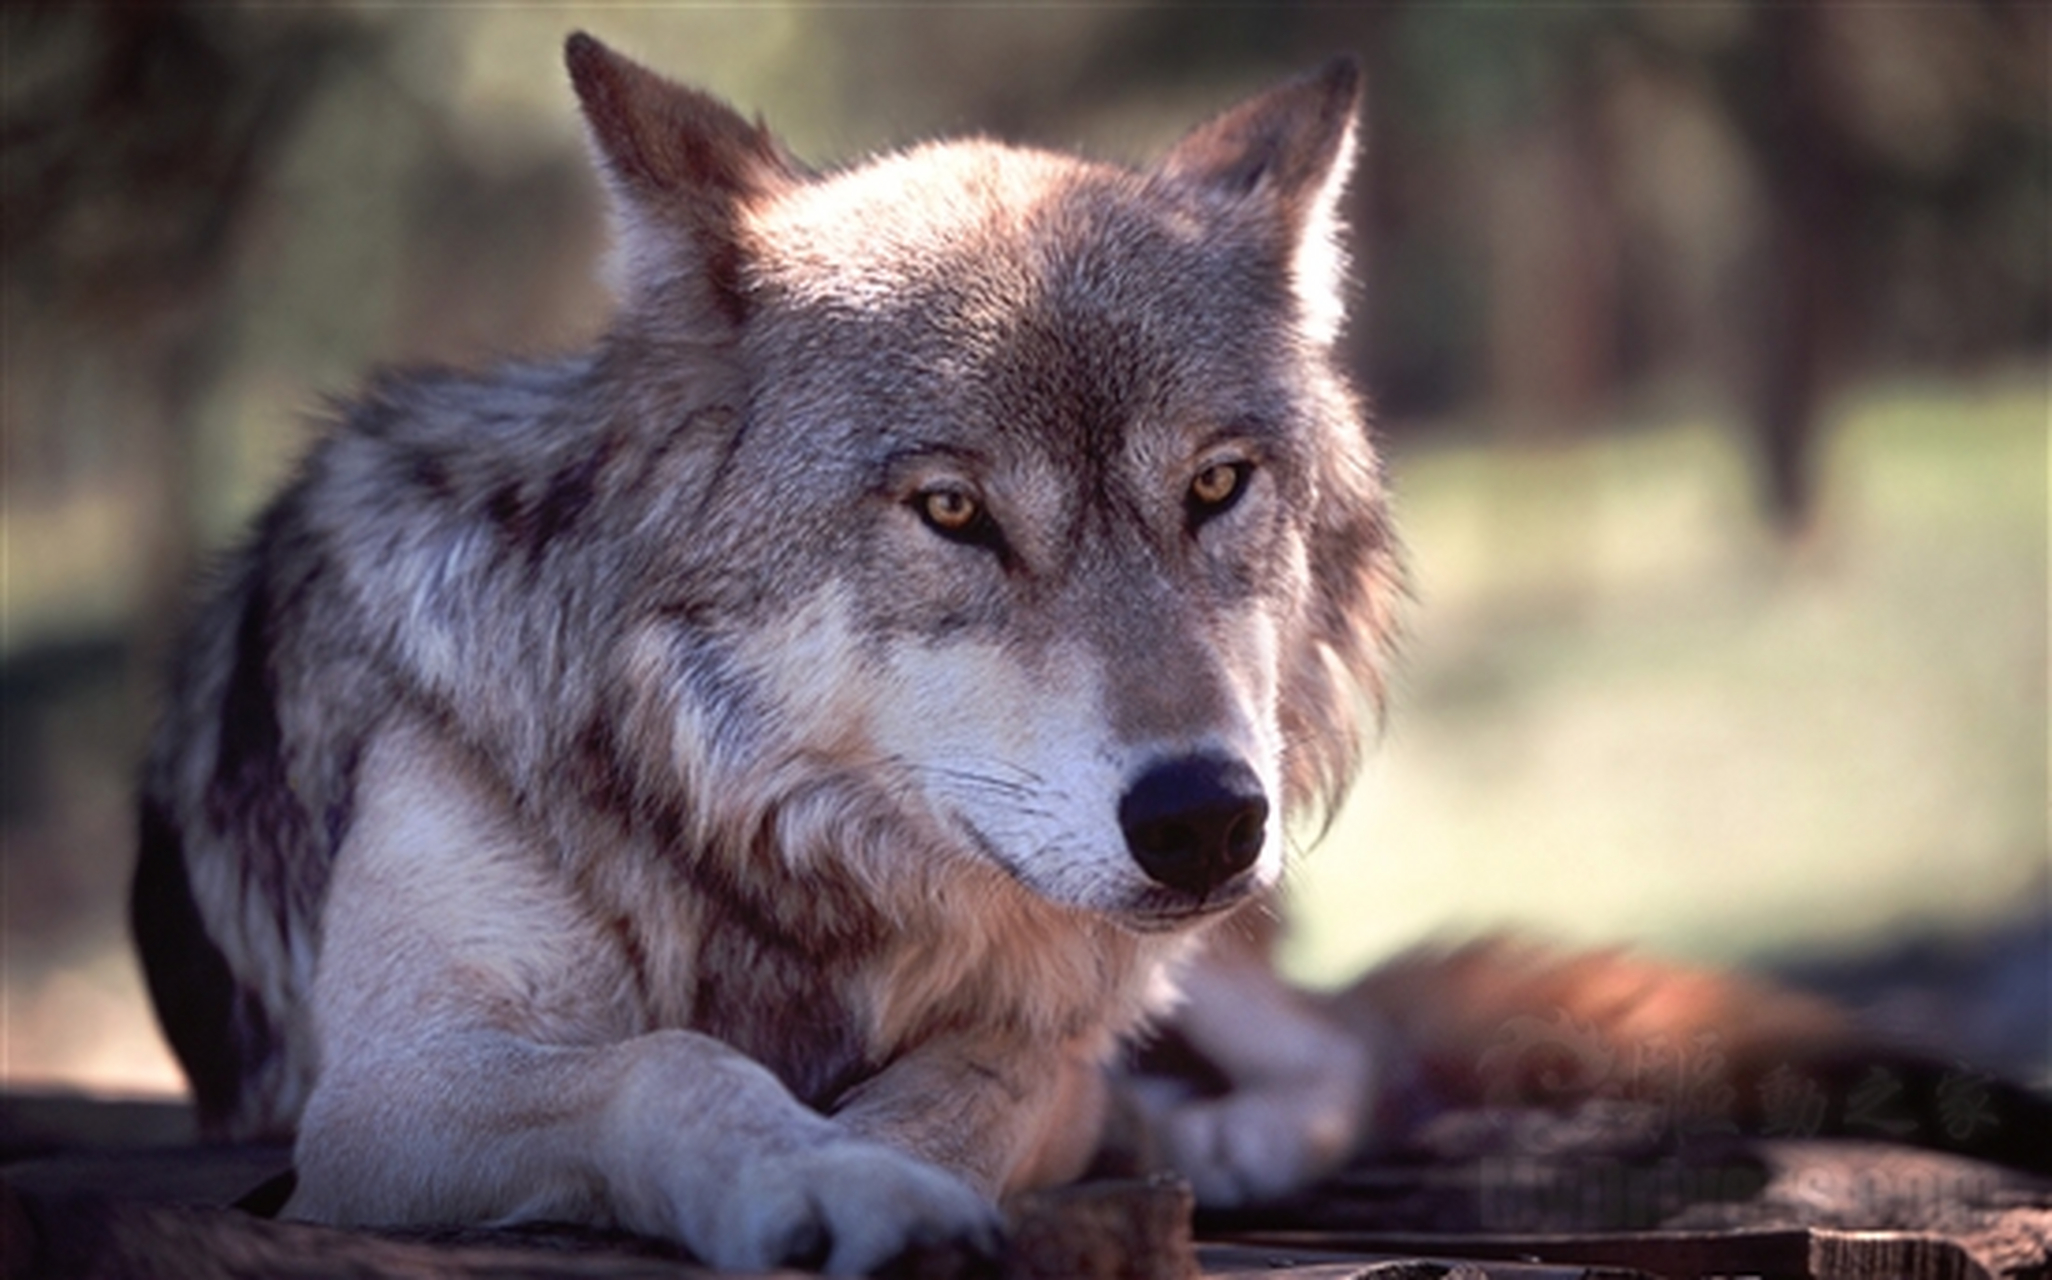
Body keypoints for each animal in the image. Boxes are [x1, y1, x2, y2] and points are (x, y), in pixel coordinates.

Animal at [132, 30, 1411, 1271]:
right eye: (954, 509)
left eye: (1215, 484)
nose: (1203, 818)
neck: (752, 843)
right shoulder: (379, 1098)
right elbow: (666, 1062)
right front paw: (827, 1174)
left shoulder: (1056, 1040)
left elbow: (989, 1075)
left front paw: (885, 1156)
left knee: (1344, 1038)